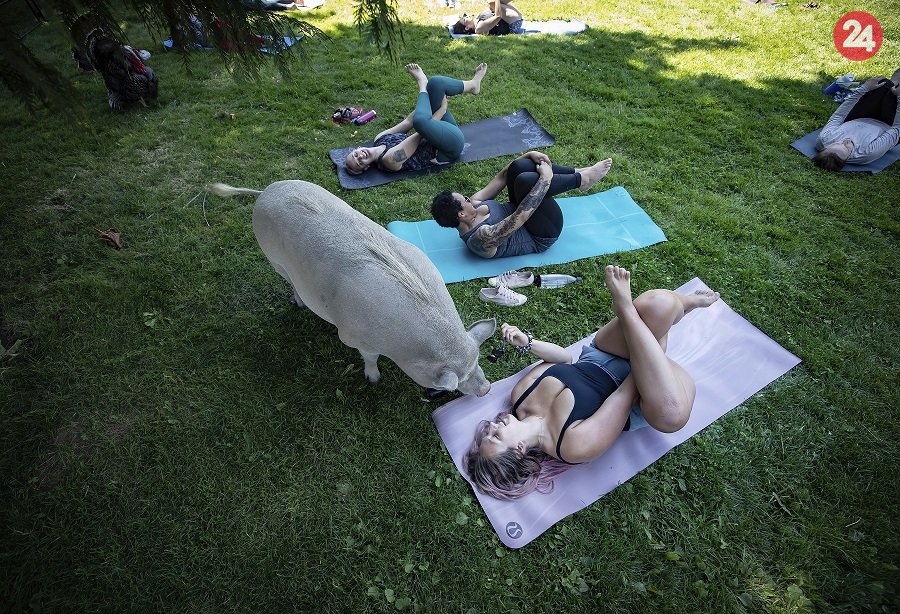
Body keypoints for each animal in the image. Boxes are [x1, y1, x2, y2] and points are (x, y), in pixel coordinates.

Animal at [207, 180, 495, 396]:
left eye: (478, 360)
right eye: (455, 383)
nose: (487, 388)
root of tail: (266, 191)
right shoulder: (353, 336)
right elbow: (369, 359)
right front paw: (374, 380)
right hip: (273, 258)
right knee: (289, 282)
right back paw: (298, 303)